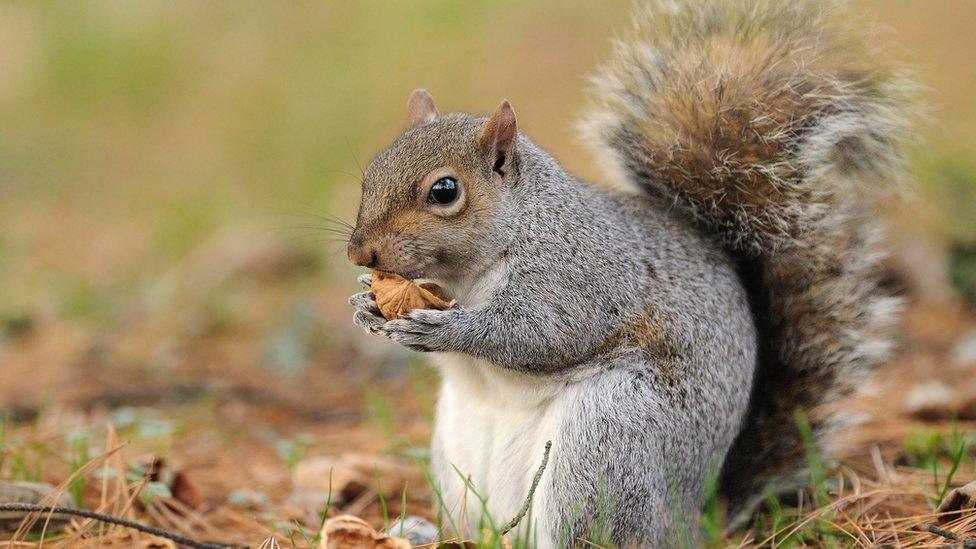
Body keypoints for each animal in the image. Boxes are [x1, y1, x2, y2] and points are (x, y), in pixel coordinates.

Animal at [346, 0, 912, 544]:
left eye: (445, 191)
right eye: (371, 171)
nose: (360, 254)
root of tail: (692, 518)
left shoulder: (578, 274)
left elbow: (544, 333)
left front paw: (447, 328)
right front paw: (367, 305)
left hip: (607, 441)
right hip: (458, 461)